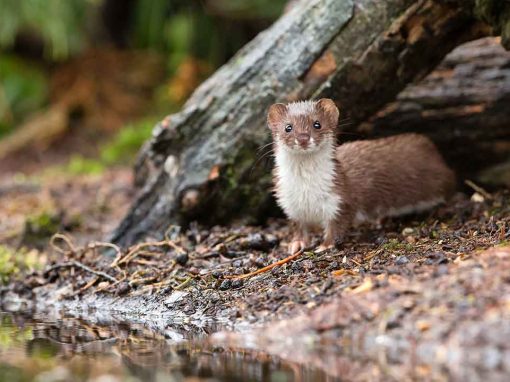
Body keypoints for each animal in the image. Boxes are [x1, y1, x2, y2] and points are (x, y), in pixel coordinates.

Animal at [268, 99, 456, 254]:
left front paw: (325, 245)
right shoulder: (289, 203)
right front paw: (296, 244)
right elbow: (298, 226)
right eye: (288, 127)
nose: (303, 138)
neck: (306, 191)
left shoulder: (340, 199)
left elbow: (337, 226)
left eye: (317, 124)